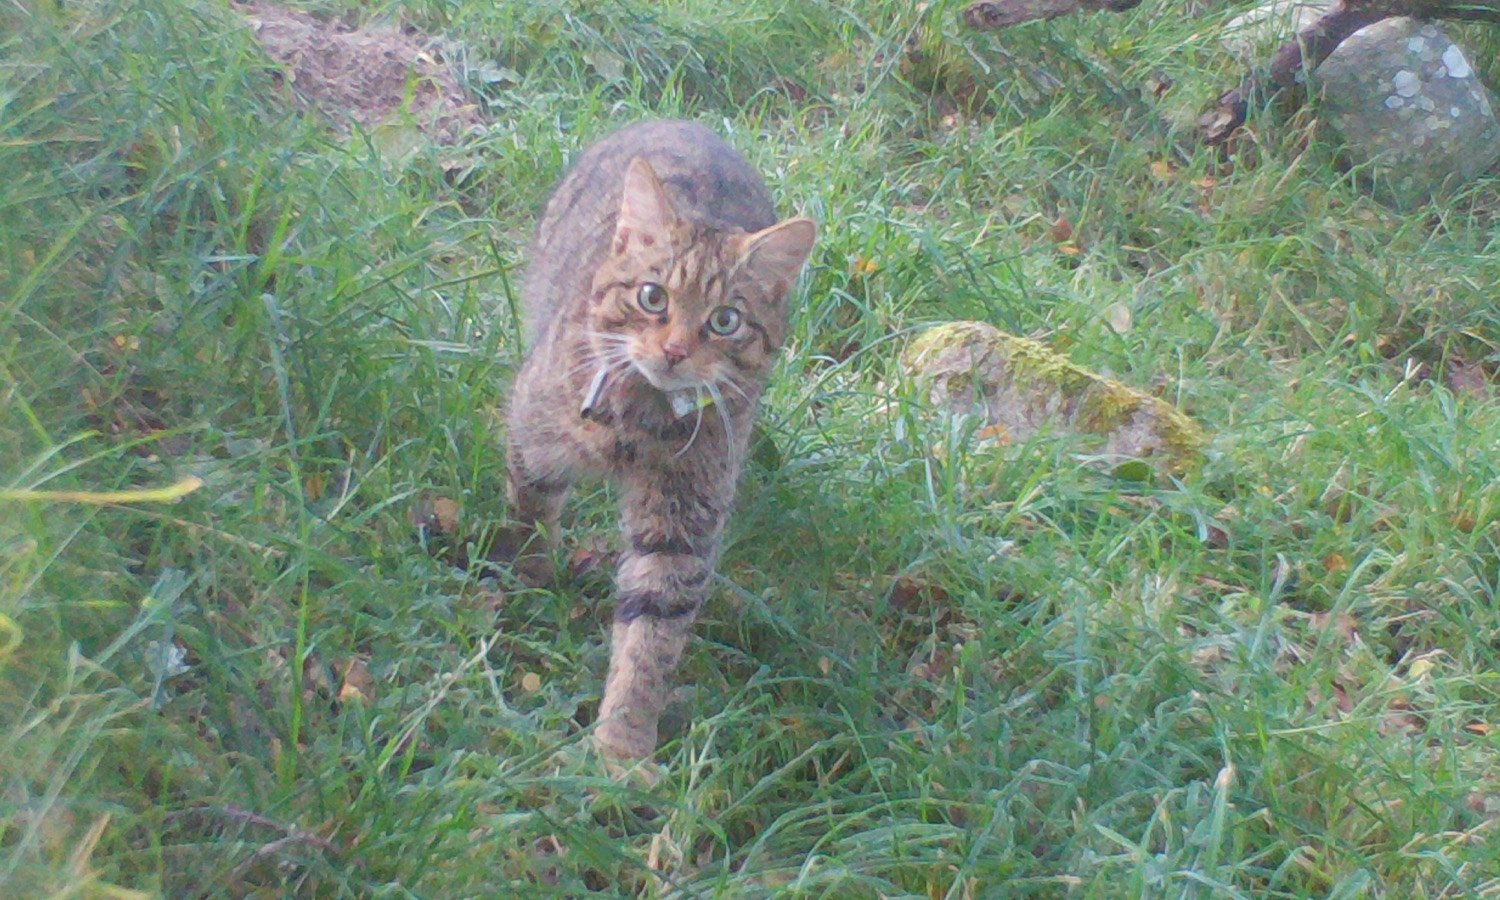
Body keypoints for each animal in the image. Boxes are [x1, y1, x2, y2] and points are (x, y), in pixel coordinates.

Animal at [504, 119, 816, 762]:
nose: (674, 351)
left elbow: (650, 637)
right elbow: (530, 508)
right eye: (653, 297)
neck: (636, 422)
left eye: (725, 321)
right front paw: (531, 578)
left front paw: (622, 748)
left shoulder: (680, 525)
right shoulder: (533, 433)